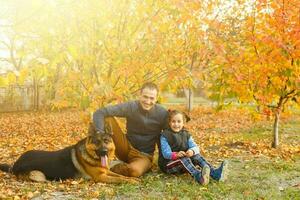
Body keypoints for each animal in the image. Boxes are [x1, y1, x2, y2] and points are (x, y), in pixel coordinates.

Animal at [0, 121, 138, 184]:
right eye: (97, 142)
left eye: (106, 141)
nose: (104, 151)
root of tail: (16, 163)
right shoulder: (100, 177)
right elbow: (119, 179)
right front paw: (132, 181)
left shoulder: (106, 172)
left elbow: (120, 176)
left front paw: (132, 178)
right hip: (38, 175)